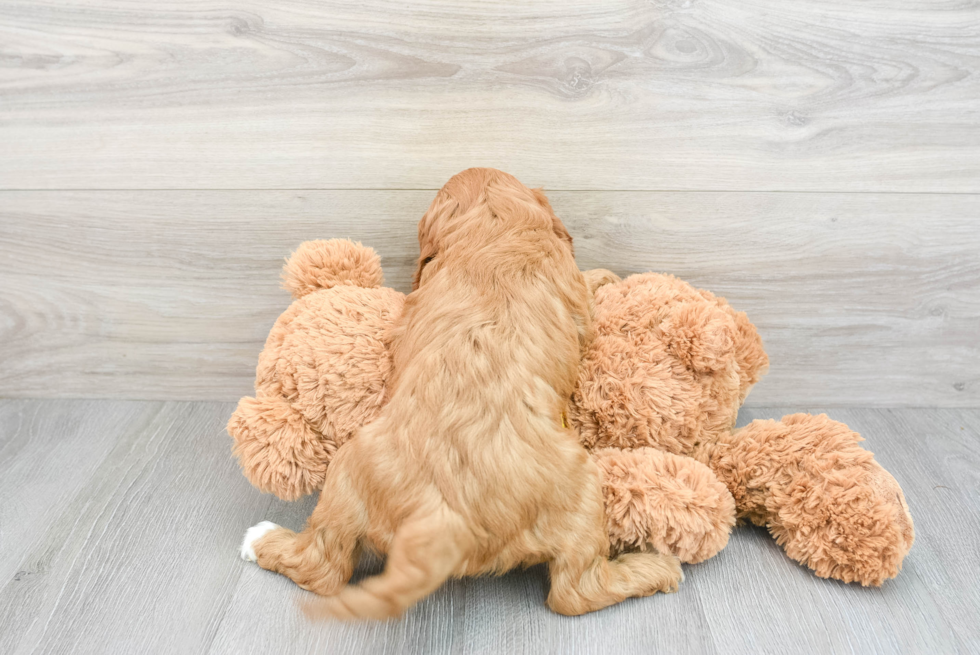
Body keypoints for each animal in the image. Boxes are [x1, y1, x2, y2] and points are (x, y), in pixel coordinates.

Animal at [239, 167, 680, 616]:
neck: (494, 225)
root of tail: (443, 520)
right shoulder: (575, 299)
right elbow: (587, 287)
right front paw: (605, 276)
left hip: (346, 474)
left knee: (326, 568)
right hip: (586, 491)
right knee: (577, 591)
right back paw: (655, 567)